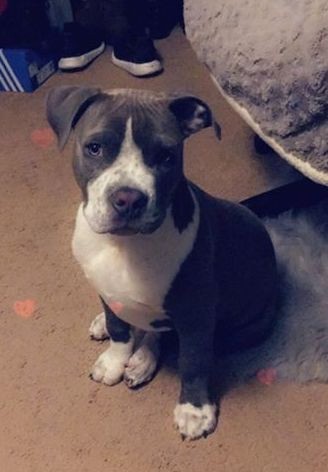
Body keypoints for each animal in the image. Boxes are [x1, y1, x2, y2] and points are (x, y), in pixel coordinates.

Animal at [46, 86, 276, 440]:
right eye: (94, 148)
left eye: (166, 156)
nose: (127, 198)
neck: (124, 245)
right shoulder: (104, 290)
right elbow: (119, 329)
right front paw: (114, 359)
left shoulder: (196, 315)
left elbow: (192, 361)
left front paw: (194, 410)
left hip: (249, 325)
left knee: (171, 338)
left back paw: (143, 360)